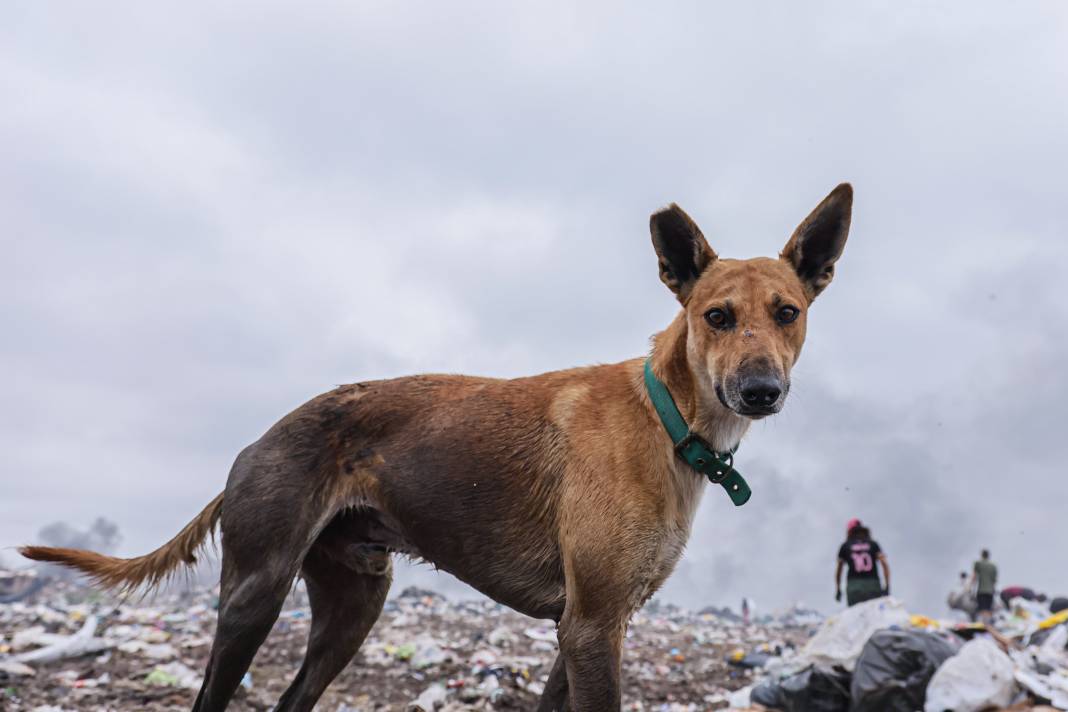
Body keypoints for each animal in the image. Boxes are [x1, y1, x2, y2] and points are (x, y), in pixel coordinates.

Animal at [20, 185, 854, 712]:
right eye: (716, 316)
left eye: (786, 312)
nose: (760, 391)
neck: (668, 416)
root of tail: (260, 439)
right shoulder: (592, 626)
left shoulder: (584, 626)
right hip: (255, 593)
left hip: (356, 602)